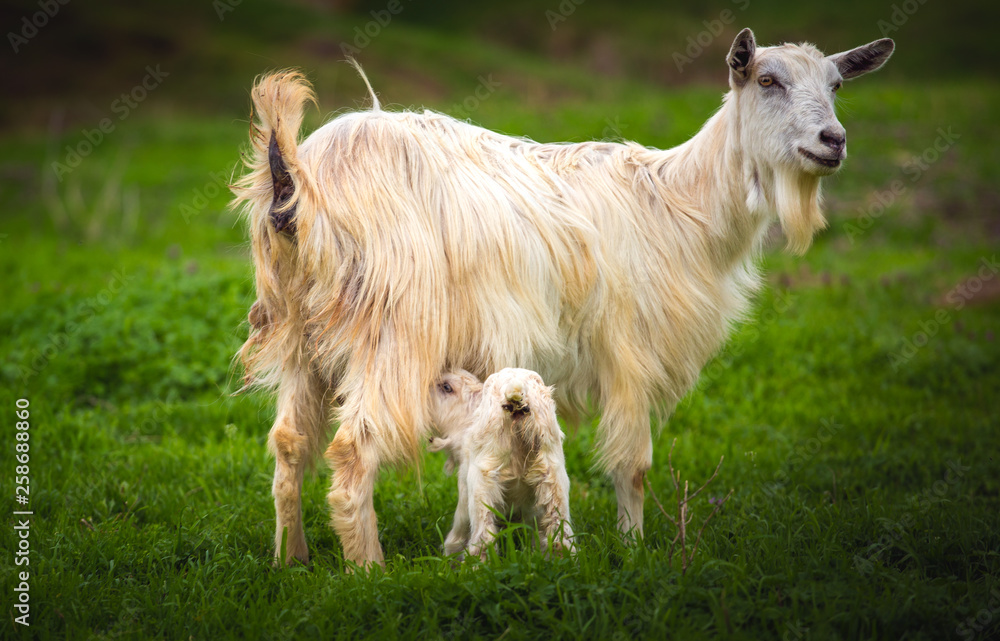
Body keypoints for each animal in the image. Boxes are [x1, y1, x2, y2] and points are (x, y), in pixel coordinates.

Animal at [428, 368, 574, 559]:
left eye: (446, 387)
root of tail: (516, 391)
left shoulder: (466, 488)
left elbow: (459, 532)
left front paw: (449, 556)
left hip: (482, 484)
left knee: (484, 538)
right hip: (554, 478)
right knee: (561, 536)